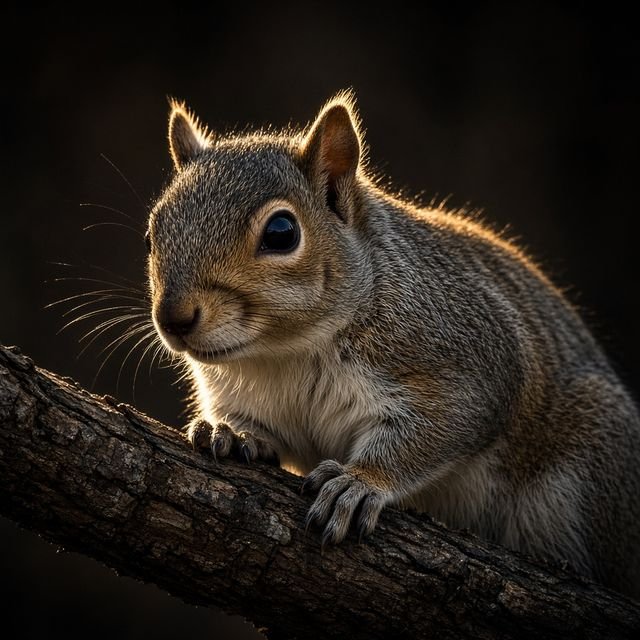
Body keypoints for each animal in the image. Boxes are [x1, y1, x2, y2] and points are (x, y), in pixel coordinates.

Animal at [146, 91, 640, 598]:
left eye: (282, 233)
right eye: (153, 229)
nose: (174, 318)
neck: (288, 352)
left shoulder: (463, 364)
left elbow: (440, 427)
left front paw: (360, 482)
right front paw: (230, 431)